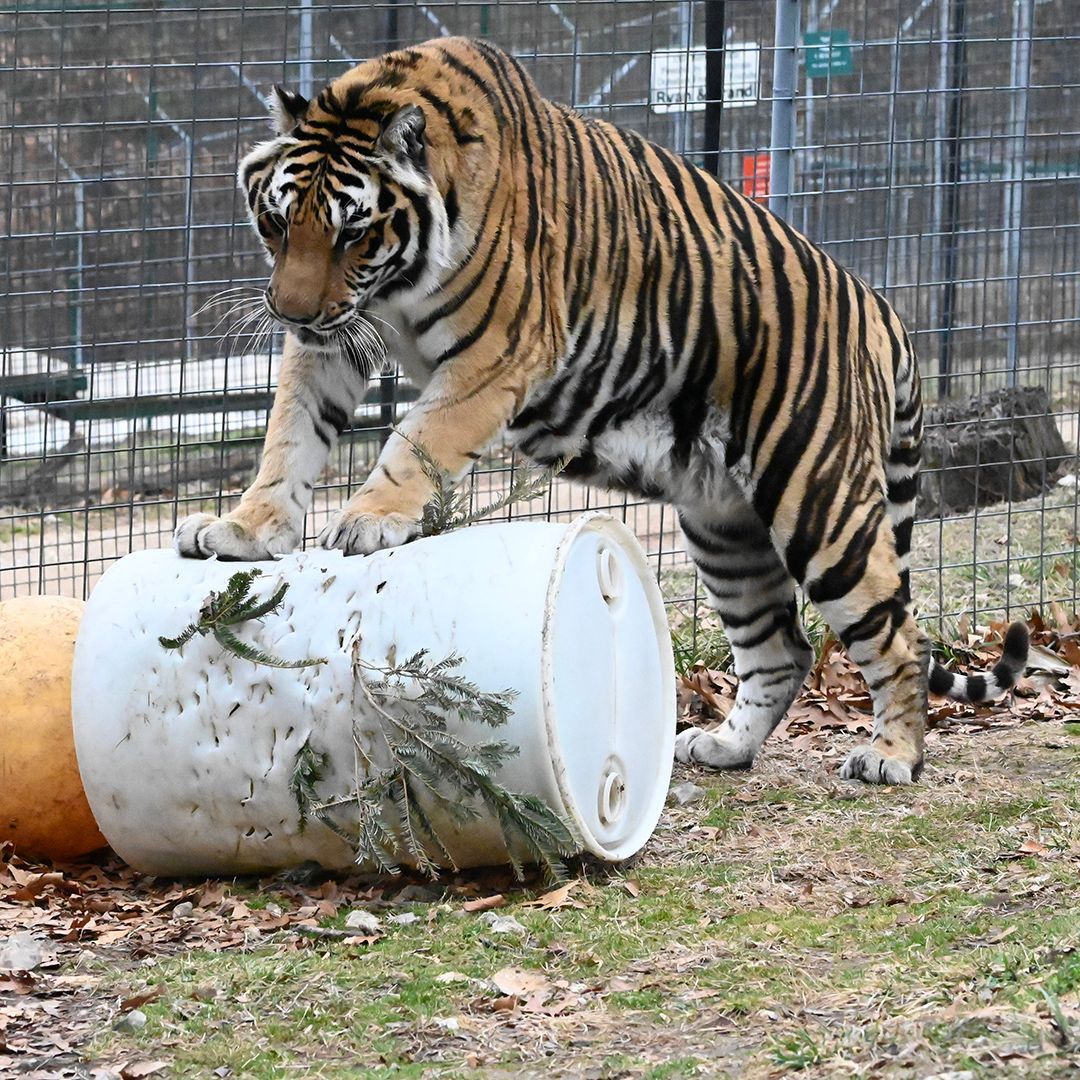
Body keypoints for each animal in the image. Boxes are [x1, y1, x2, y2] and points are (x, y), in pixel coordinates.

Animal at [174, 36, 1030, 786]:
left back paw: (892, 756)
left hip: (820, 507)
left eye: (353, 231)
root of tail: (881, 308)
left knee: (899, 639)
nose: (288, 312)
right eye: (278, 222)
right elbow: (289, 440)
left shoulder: (496, 354)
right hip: (724, 529)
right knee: (781, 647)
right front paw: (245, 529)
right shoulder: (334, 345)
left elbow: (414, 442)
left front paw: (370, 519)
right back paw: (724, 746)